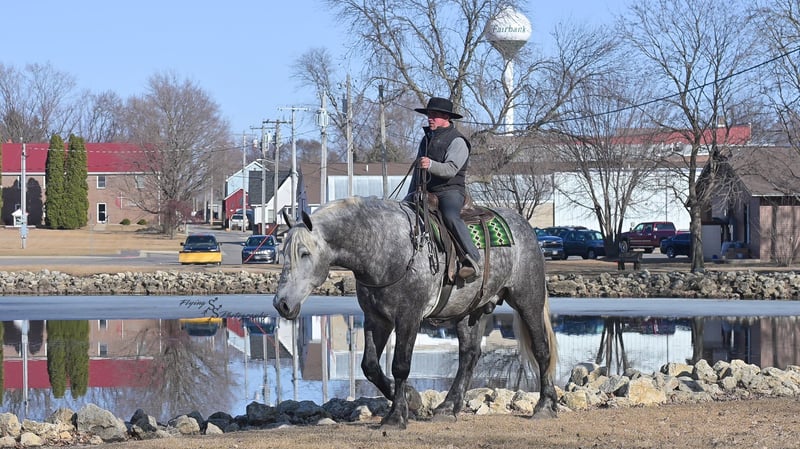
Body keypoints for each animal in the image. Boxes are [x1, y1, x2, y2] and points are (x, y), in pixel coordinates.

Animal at [273, 196, 558, 429]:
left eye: (304, 253)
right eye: (283, 252)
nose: (281, 303)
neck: (386, 247)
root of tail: (523, 226)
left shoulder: (408, 317)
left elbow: (400, 365)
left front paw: (397, 415)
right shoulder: (377, 319)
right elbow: (370, 366)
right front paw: (412, 399)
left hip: (527, 299)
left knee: (541, 348)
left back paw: (545, 406)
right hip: (471, 312)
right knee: (469, 356)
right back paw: (447, 408)